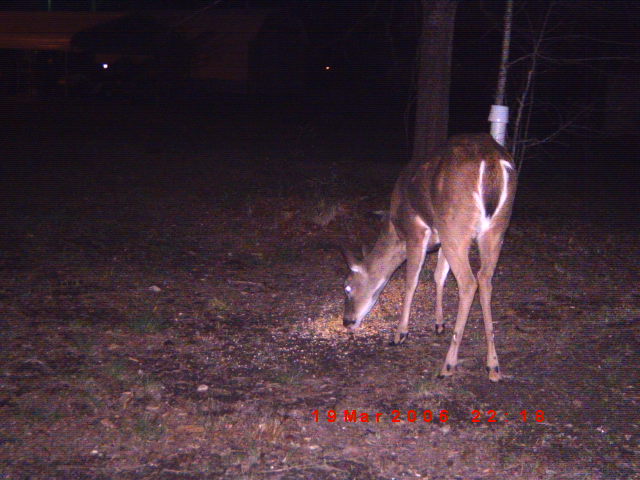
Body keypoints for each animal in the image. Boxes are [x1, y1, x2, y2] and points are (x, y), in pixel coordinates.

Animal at [341, 133, 517, 381]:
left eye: (347, 288)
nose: (347, 321)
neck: (395, 230)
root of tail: (492, 161)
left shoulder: (416, 231)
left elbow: (411, 280)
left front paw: (400, 333)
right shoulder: (440, 237)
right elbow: (439, 275)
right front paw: (439, 324)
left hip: (456, 226)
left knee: (468, 283)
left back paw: (448, 364)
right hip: (495, 229)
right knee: (485, 279)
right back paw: (493, 366)